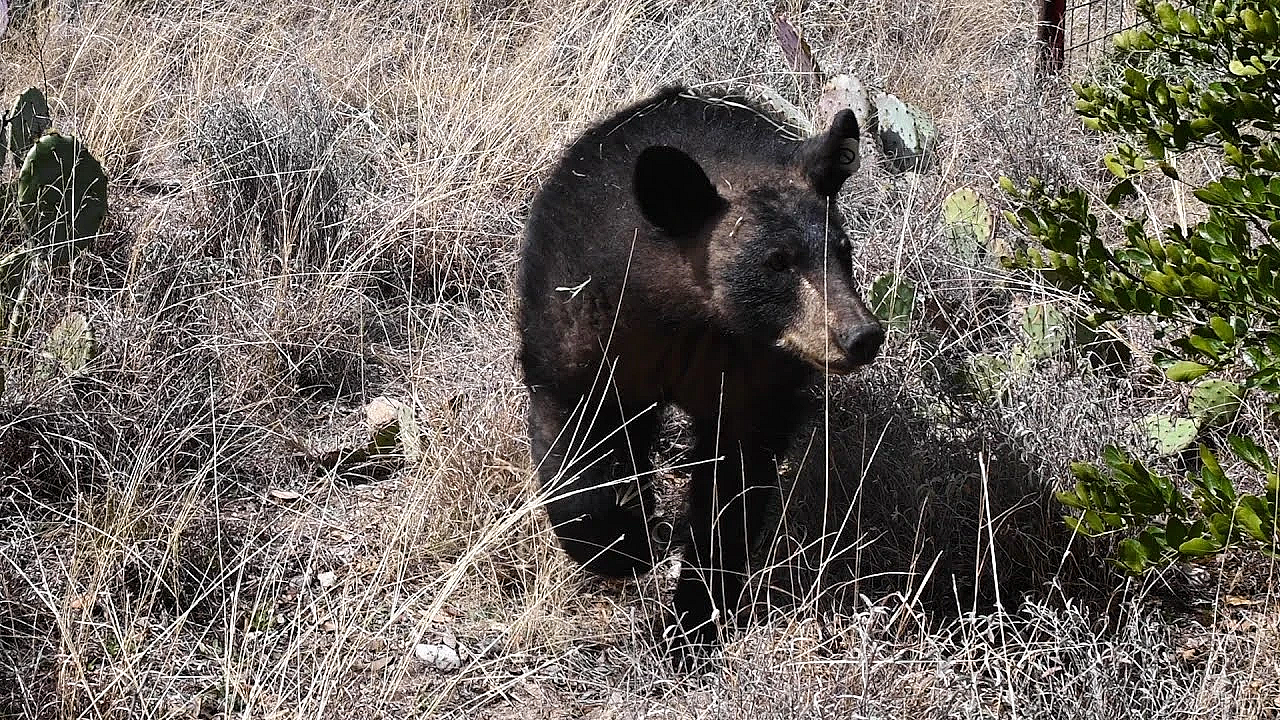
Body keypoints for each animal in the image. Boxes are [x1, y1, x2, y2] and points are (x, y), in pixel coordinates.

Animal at [517, 86, 884, 659]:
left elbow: (732, 489)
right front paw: (626, 543)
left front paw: (693, 623)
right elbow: (573, 437)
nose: (861, 335)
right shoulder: (586, 325)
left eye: (842, 251)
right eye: (776, 262)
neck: (691, 316)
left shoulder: (754, 377)